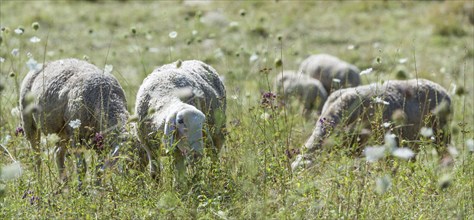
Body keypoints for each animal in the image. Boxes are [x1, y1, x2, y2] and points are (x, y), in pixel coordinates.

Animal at [20, 58, 129, 186]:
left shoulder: (102, 143)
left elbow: (98, 169)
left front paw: (97, 188)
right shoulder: (78, 137)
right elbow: (82, 168)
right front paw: (81, 189)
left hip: (63, 132)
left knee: (58, 153)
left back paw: (64, 184)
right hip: (29, 122)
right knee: (36, 155)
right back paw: (40, 182)